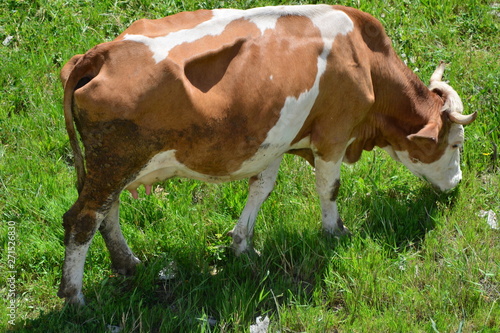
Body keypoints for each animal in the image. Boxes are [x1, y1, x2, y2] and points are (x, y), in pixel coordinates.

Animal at [58, 4, 476, 304]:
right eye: (456, 144)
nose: (456, 183)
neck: (365, 58)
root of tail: (101, 53)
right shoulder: (334, 135)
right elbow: (329, 188)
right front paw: (334, 231)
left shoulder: (274, 142)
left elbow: (261, 188)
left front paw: (242, 245)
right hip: (115, 162)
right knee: (82, 220)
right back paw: (75, 297)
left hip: (111, 166)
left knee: (106, 213)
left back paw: (126, 263)